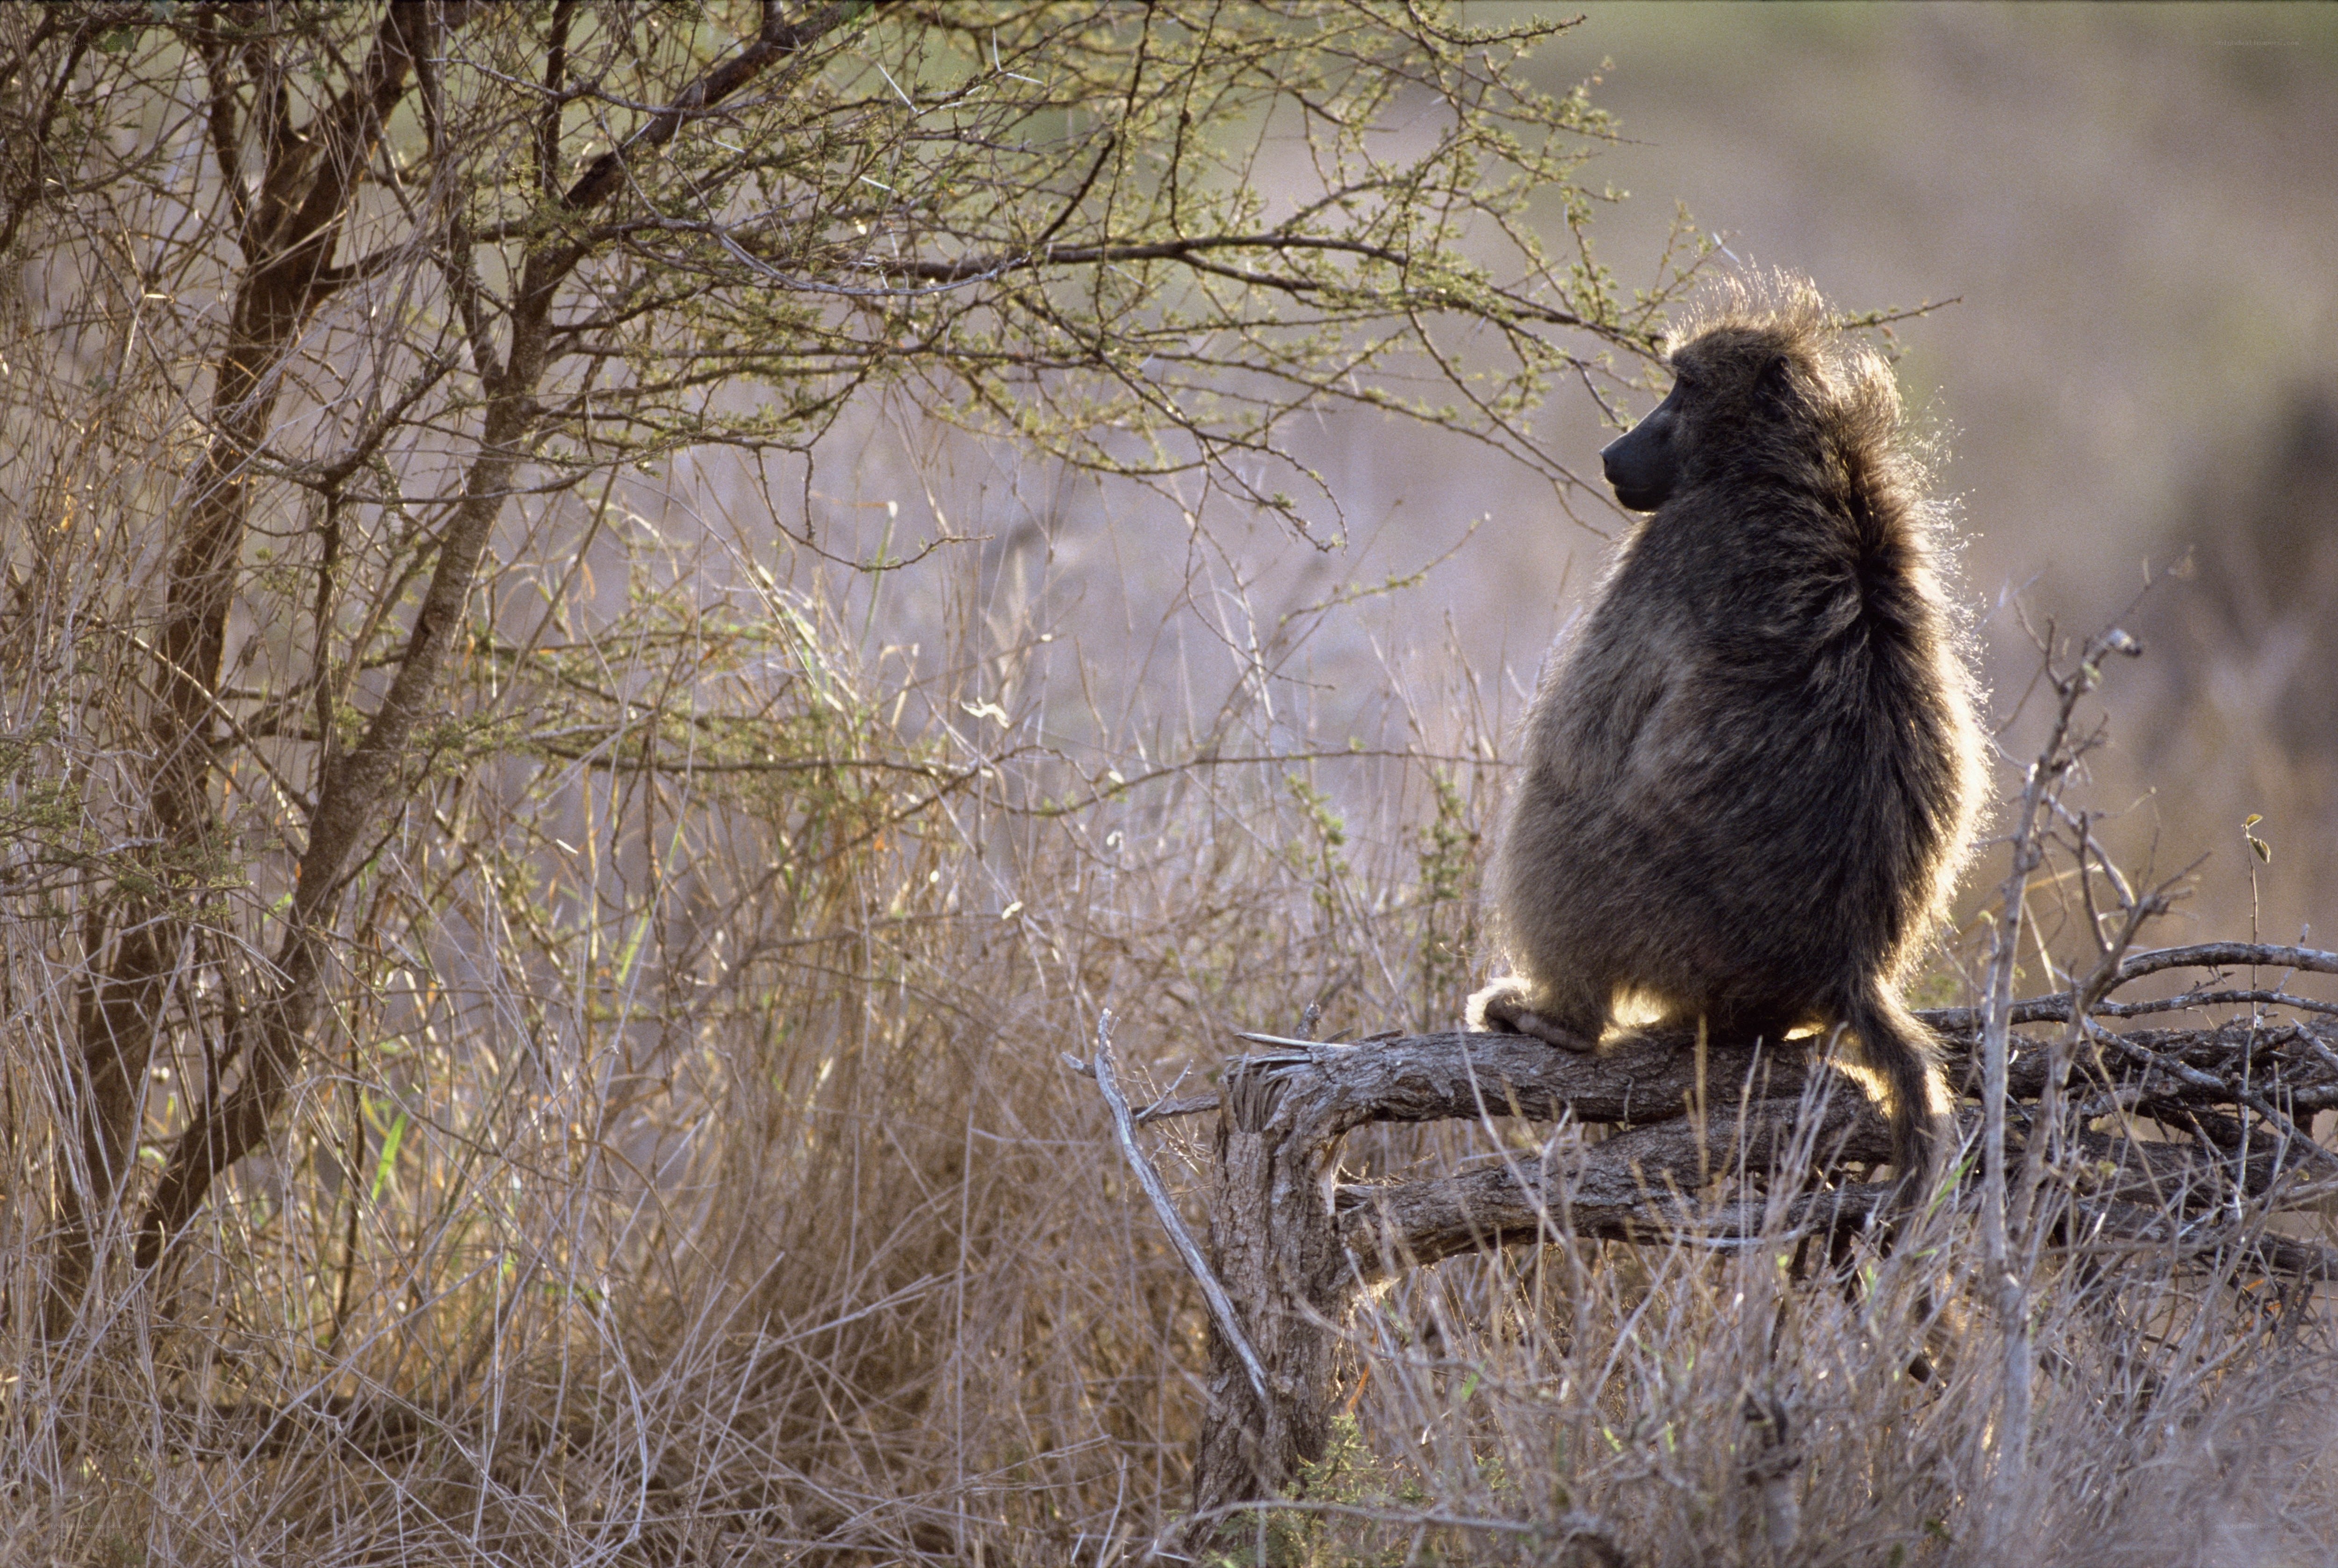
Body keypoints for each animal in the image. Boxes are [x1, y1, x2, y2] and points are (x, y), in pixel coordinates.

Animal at [1467, 274, 1985, 1205]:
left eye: (1681, 386)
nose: (1613, 453)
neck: (1807, 461)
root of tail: (1848, 965)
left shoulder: (1676, 541)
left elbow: (1576, 745)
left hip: (1647, 913)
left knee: (1556, 817)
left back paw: (1560, 1020)